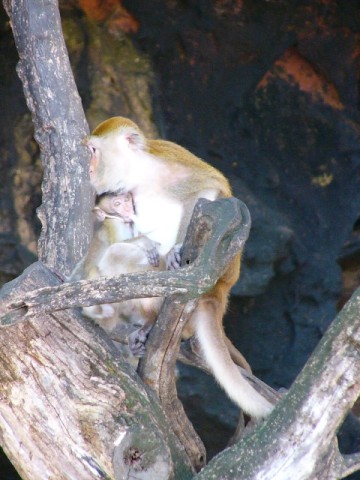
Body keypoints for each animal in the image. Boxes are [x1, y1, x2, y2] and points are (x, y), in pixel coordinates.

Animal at [86, 115, 272, 416]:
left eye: (94, 151)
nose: (89, 169)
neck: (140, 175)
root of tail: (218, 292)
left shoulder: (167, 162)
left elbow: (209, 188)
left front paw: (175, 249)